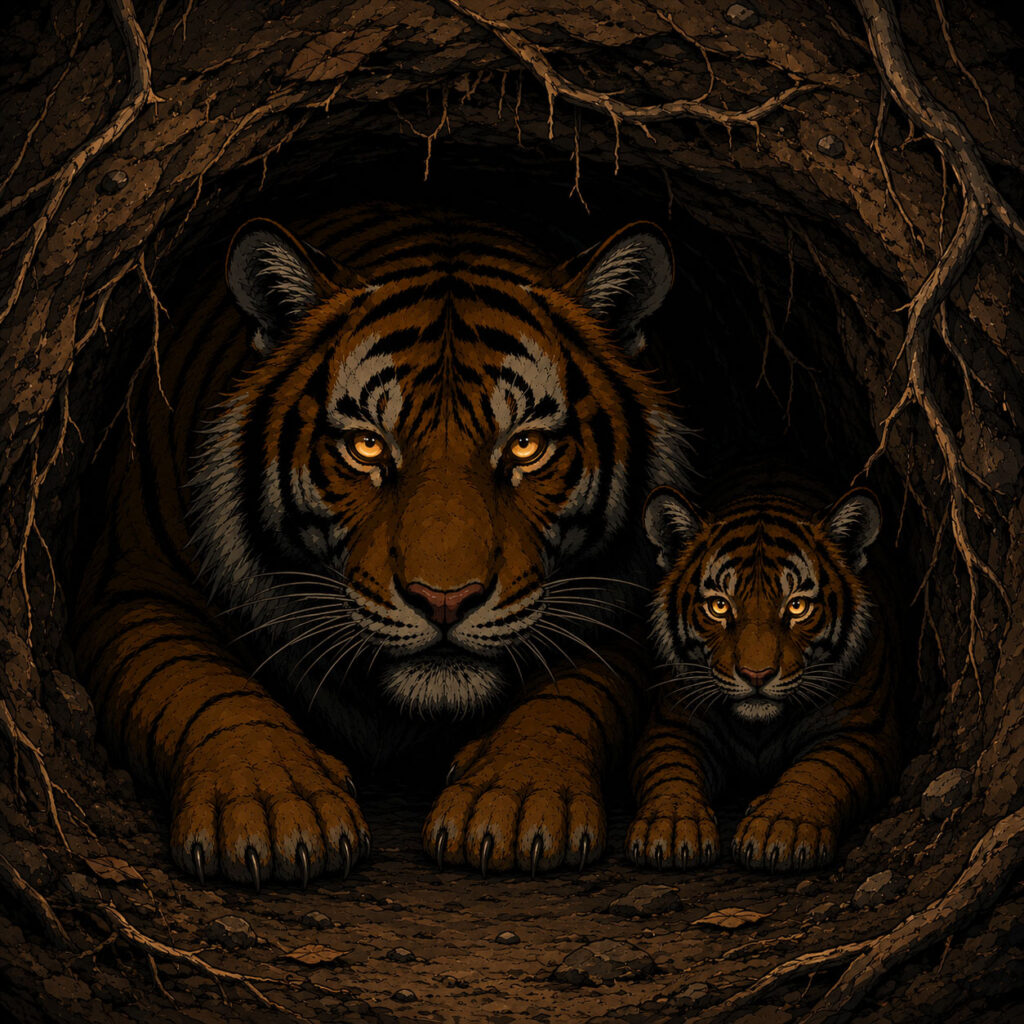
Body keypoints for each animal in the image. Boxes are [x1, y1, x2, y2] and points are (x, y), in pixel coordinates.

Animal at [73, 204, 694, 886]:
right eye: (367, 446)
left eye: (526, 447)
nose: (444, 601)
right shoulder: (137, 586)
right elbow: (201, 687)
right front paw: (272, 805)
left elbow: (569, 698)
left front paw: (514, 800)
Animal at [626, 481, 900, 872]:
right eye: (719, 606)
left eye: (797, 606)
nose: (757, 675)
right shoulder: (672, 724)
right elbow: (670, 770)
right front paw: (671, 826)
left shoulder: (862, 732)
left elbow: (819, 772)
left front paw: (780, 829)